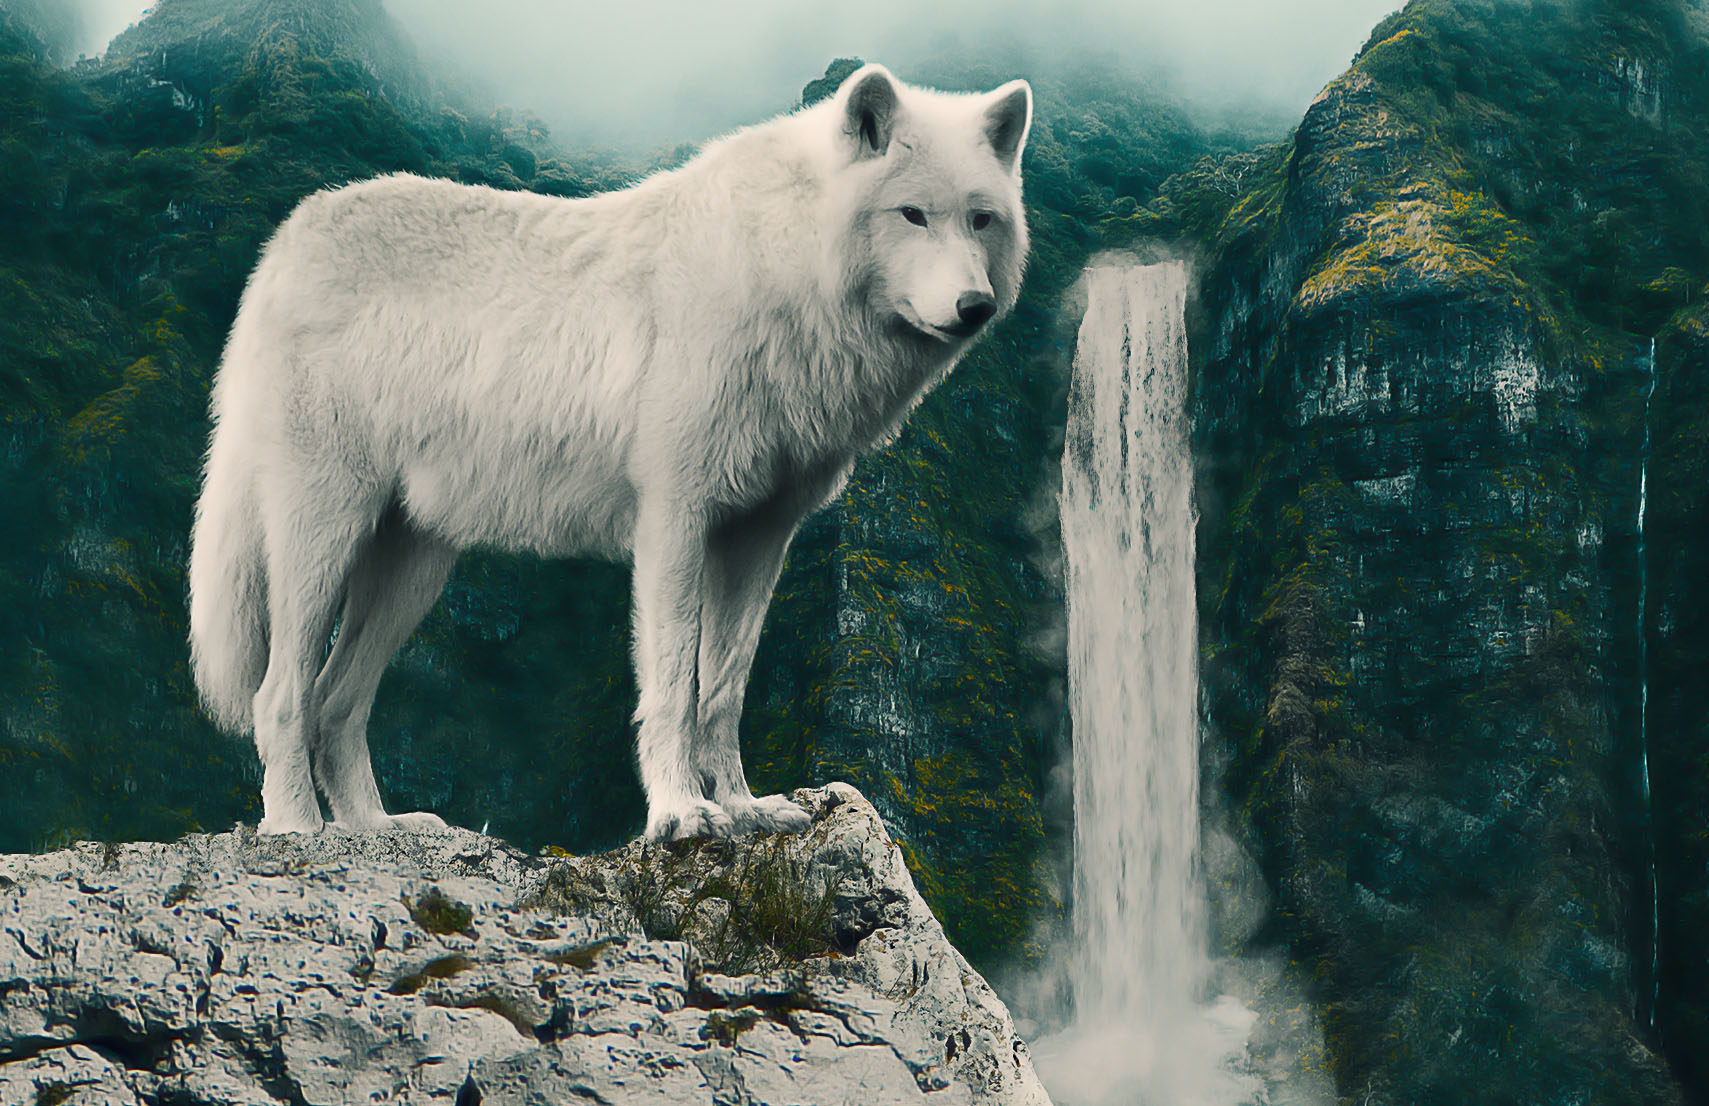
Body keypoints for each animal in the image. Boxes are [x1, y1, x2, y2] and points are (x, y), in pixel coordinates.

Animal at [187, 64, 1031, 841]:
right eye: (911, 214)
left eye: (981, 220)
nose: (974, 307)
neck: (781, 272)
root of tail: (286, 240)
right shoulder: (674, 520)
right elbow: (673, 688)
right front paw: (681, 813)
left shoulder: (760, 536)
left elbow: (724, 690)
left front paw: (742, 808)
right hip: (324, 537)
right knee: (280, 695)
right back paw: (295, 829)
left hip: (413, 567)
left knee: (336, 702)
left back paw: (375, 830)